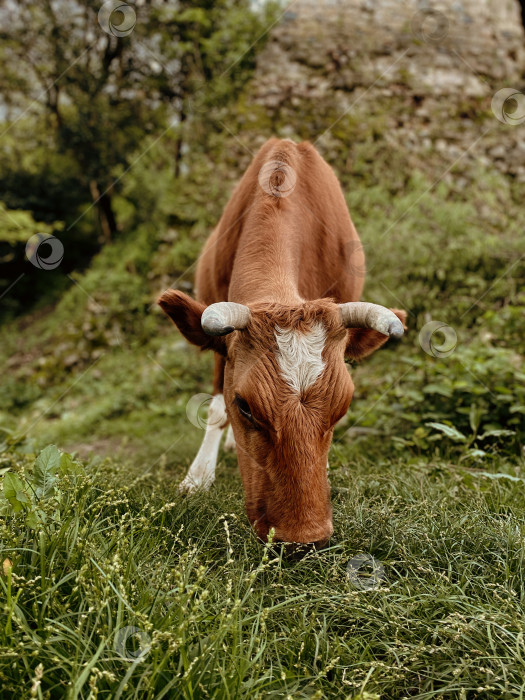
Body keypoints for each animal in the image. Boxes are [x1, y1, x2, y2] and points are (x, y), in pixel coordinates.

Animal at [159, 139, 406, 548]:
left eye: (343, 407)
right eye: (245, 406)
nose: (303, 539)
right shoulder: (218, 345)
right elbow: (216, 409)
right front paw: (197, 478)